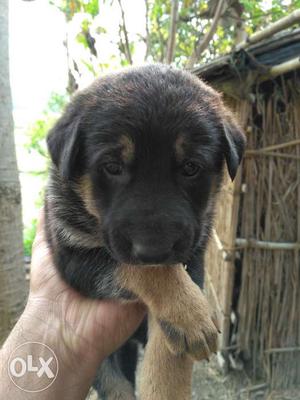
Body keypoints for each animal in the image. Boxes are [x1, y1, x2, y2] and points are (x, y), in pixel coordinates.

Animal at [45, 64, 246, 398]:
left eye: (191, 167)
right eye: (112, 167)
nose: (154, 249)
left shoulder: (194, 255)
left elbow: (168, 349)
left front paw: (166, 383)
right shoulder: (71, 254)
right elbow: (148, 271)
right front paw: (189, 314)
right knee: (113, 382)